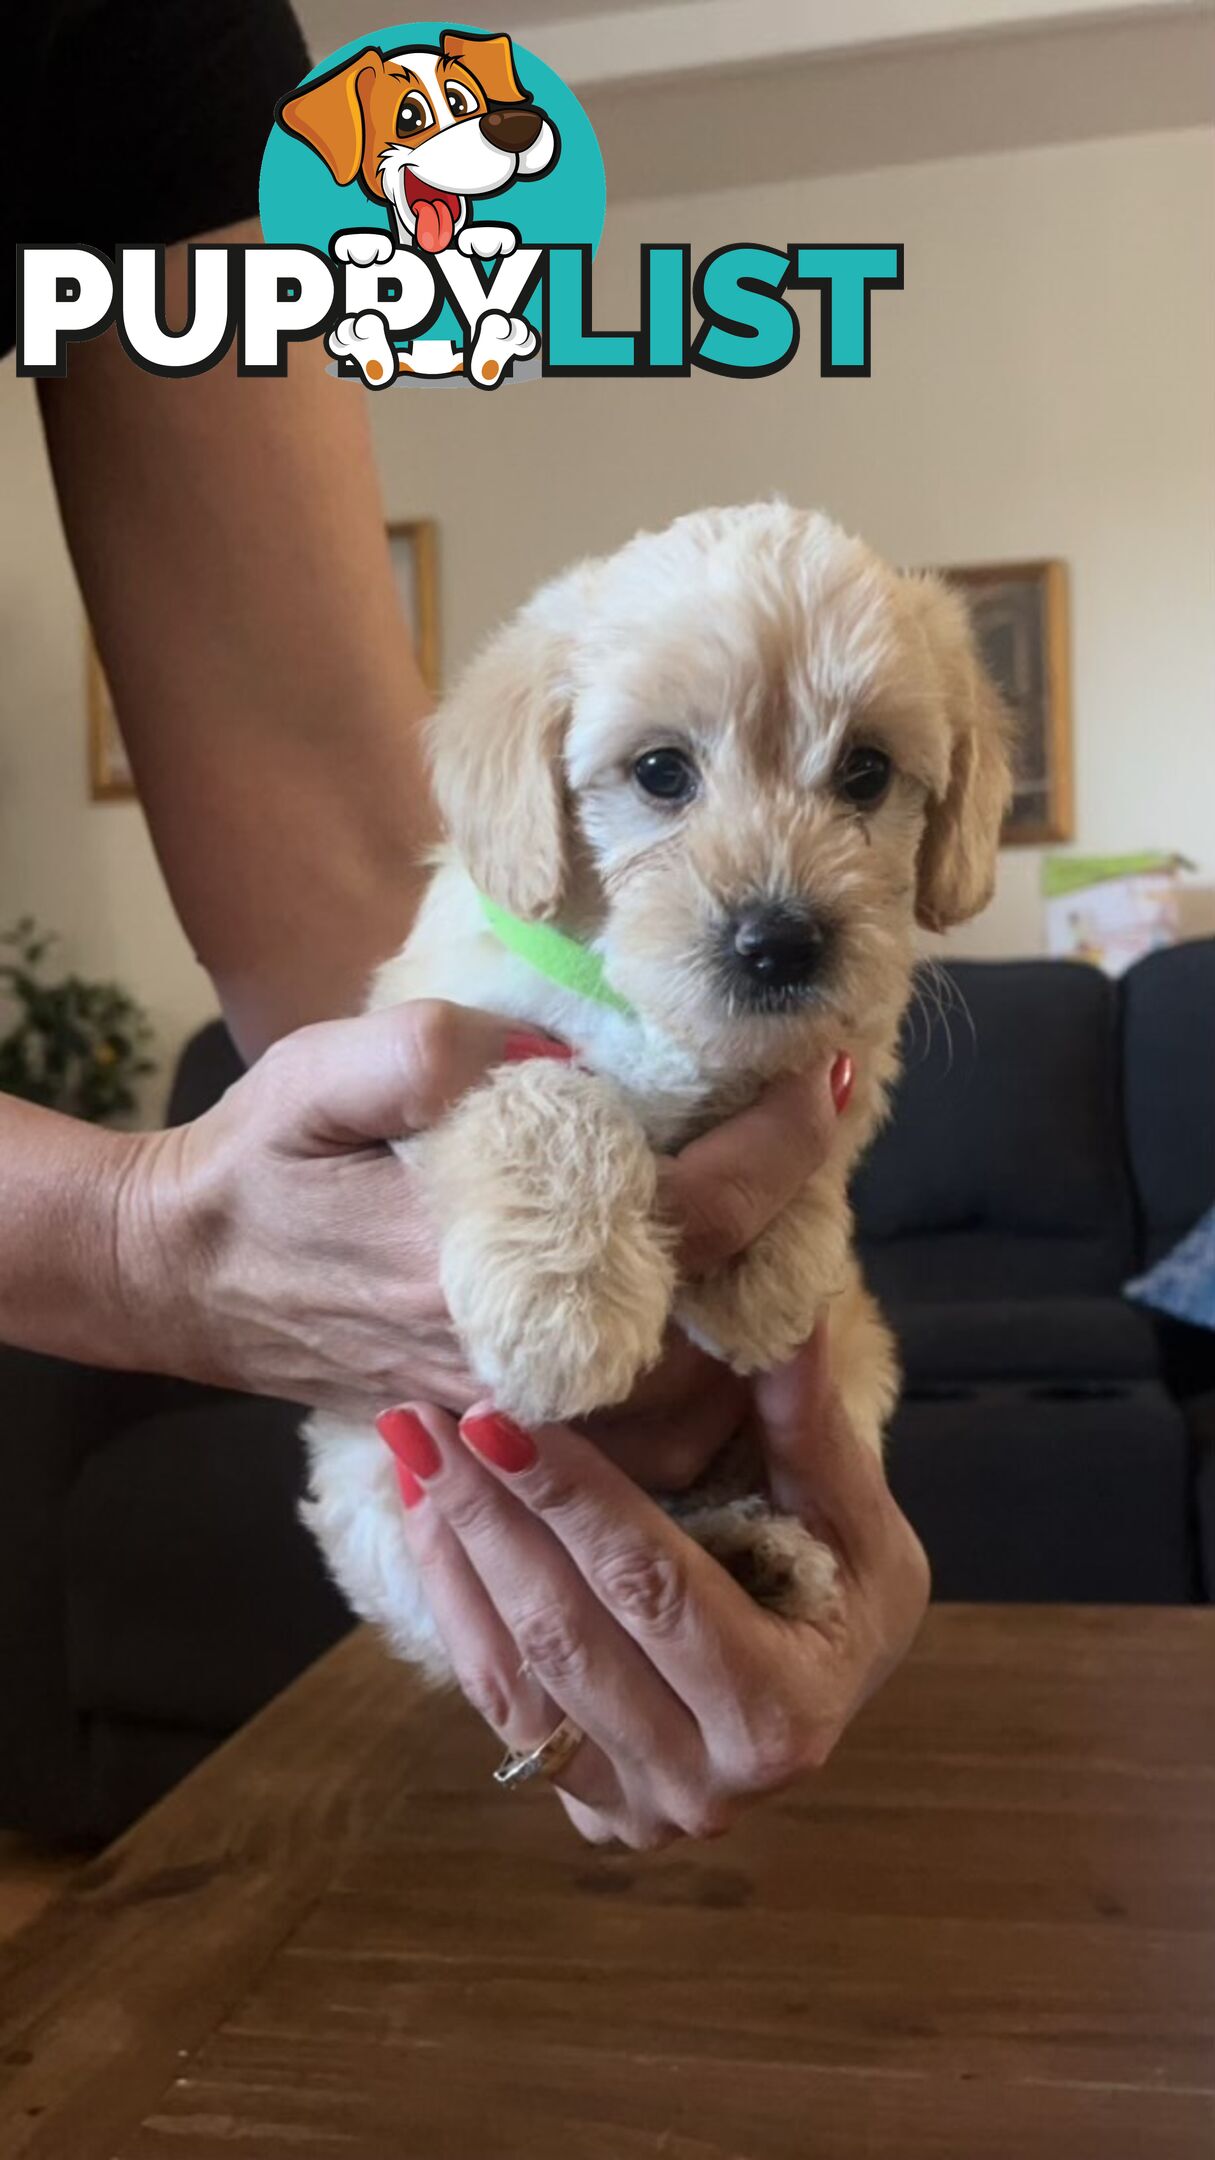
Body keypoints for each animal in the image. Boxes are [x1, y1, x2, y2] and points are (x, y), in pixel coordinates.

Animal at [300, 505, 1003, 1667]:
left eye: (866, 771)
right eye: (661, 772)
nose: (780, 943)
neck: (651, 1009)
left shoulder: (848, 1043)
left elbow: (811, 1119)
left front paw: (770, 1269)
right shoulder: (430, 1043)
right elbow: (550, 1102)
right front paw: (568, 1311)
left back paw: (757, 1555)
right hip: (373, 1478)